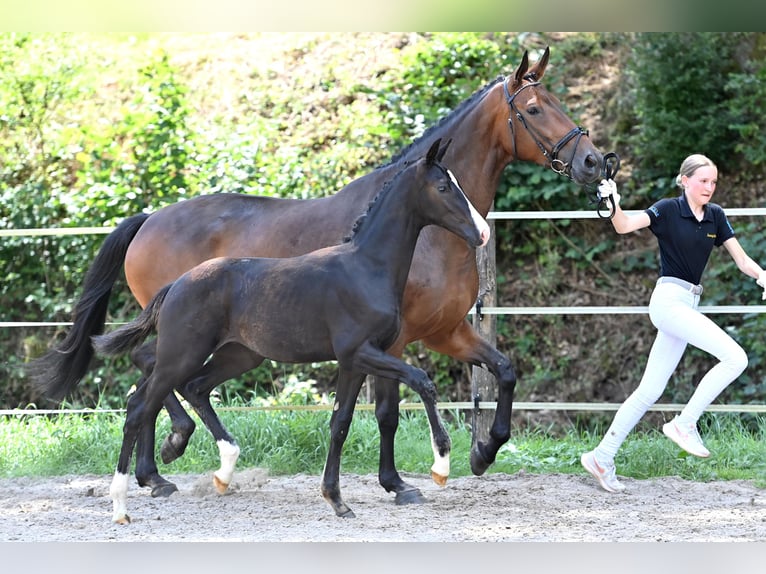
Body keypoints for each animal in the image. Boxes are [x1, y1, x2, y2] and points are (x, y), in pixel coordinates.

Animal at [94, 142, 492, 524]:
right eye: (443, 187)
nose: (483, 233)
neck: (366, 269)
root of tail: (176, 285)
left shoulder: (356, 362)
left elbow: (340, 424)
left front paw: (337, 501)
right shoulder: (362, 352)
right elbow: (422, 381)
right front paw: (440, 466)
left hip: (235, 355)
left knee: (190, 389)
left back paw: (220, 470)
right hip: (182, 354)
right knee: (140, 406)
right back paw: (123, 505)